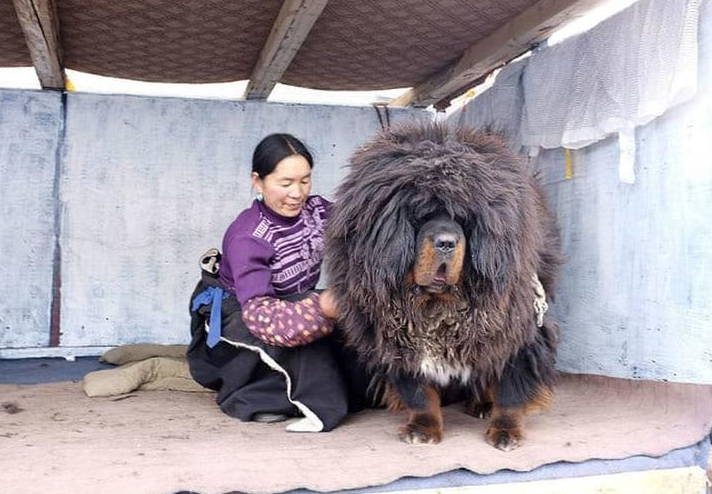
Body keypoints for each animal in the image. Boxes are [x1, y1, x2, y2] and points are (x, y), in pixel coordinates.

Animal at [326, 121, 564, 450]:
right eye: (420, 216)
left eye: (464, 220)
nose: (447, 242)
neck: (436, 306)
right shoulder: (397, 339)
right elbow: (419, 394)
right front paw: (422, 428)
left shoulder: (518, 331)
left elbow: (510, 390)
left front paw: (506, 430)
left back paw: (482, 405)